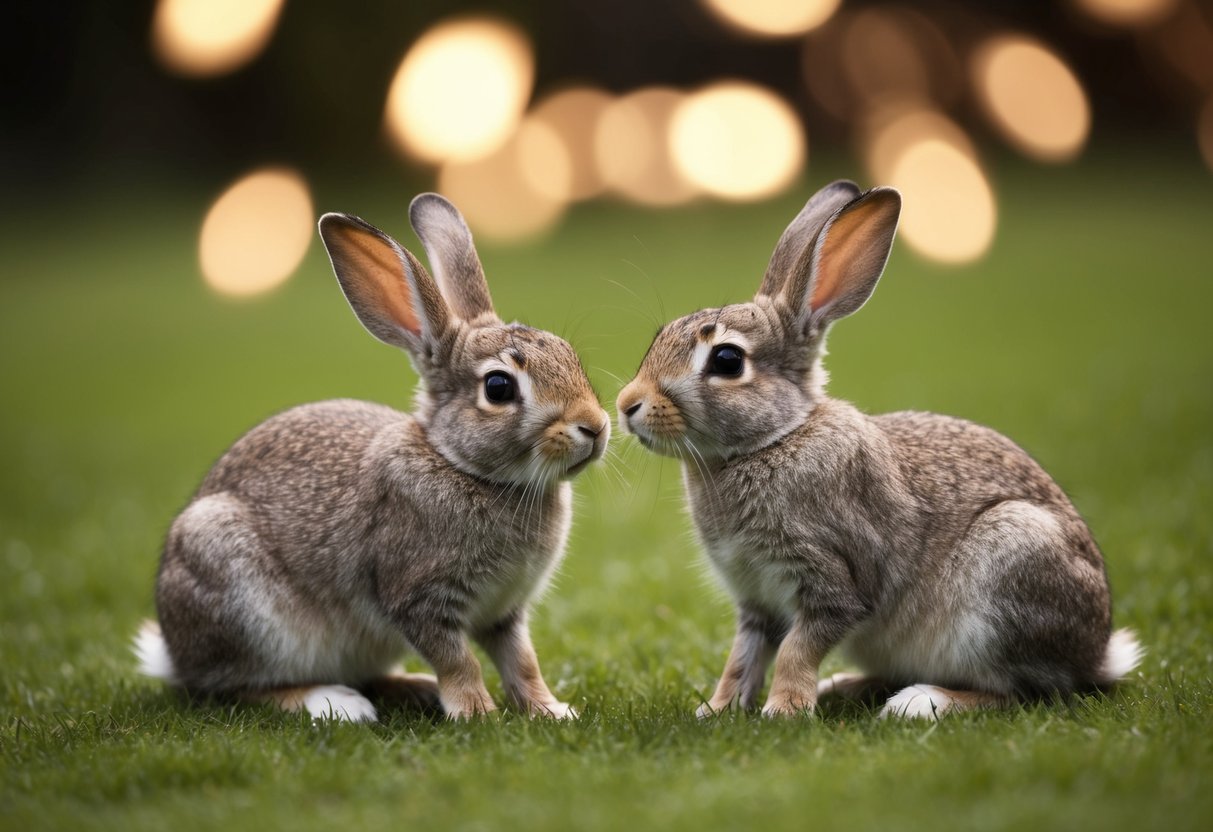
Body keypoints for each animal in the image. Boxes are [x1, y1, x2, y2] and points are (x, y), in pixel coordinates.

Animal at [134, 193, 609, 723]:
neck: (464, 466)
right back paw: (337, 704)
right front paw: (477, 714)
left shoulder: (504, 612)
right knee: (238, 689)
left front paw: (551, 711)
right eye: (499, 387)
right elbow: (458, 660)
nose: (596, 426)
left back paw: (414, 689)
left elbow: (522, 662)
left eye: (568, 354)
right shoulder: (417, 598)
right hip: (248, 608)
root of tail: (175, 655)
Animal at [616, 180, 1142, 720]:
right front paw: (719, 710)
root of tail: (1096, 655)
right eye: (658, 338)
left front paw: (784, 710)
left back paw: (920, 703)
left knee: (1021, 692)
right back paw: (845, 687)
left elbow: (797, 648)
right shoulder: (756, 599)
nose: (627, 405)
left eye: (726, 360)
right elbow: (744, 656)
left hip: (1006, 577)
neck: (775, 437)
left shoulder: (835, 578)